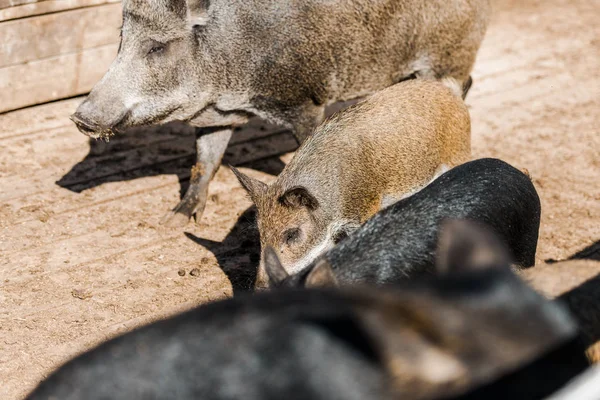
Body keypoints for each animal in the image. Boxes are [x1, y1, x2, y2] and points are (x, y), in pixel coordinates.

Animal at [71, 0, 492, 228]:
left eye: (157, 47)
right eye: (122, 41)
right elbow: (204, 163)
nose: (80, 117)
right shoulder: (218, 117)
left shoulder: (304, 103)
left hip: (451, 56)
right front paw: (172, 221)